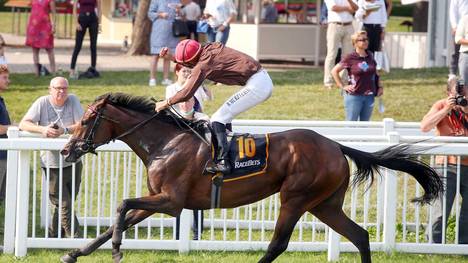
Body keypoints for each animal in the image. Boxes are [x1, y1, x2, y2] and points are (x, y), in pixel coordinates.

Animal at [59, 94, 442, 263]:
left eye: (85, 121)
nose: (66, 150)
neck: (165, 143)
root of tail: (335, 145)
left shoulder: (172, 202)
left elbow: (122, 205)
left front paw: (117, 250)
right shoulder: (158, 200)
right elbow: (119, 218)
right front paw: (74, 253)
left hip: (297, 198)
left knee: (278, 244)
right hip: (325, 205)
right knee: (360, 235)